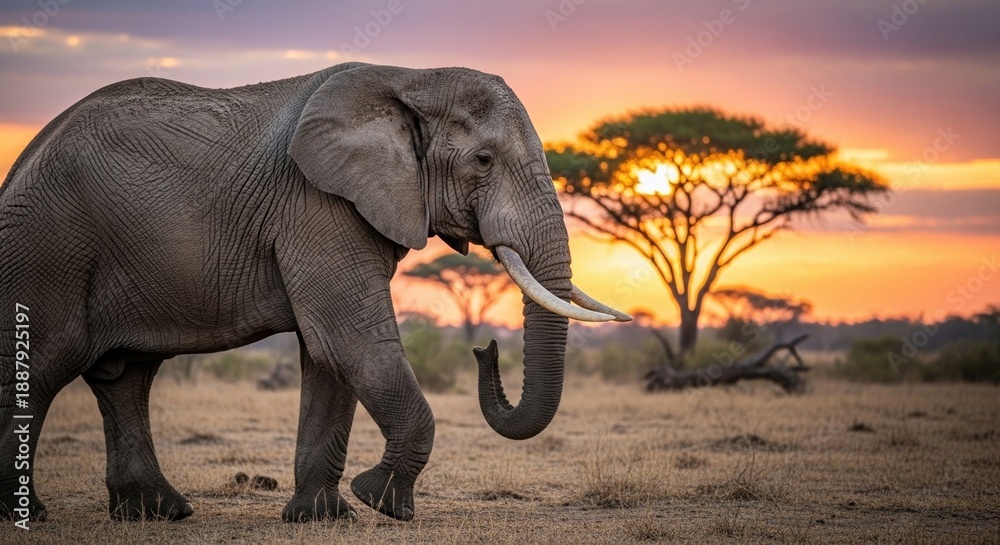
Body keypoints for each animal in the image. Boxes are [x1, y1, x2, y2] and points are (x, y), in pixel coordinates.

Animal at [0, 62, 630, 523]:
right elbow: (352, 342)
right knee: (46, 363)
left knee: (125, 376)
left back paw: (159, 513)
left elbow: (327, 357)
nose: (485, 348)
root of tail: (22, 162)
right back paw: (29, 514)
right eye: (483, 159)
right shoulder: (317, 204)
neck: (412, 78)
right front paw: (383, 503)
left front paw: (322, 518)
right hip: (49, 247)